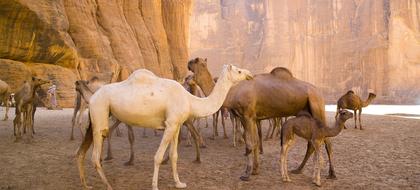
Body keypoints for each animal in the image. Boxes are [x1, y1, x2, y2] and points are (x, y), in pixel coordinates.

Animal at [76, 64, 251, 190]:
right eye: (239, 70)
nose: (250, 74)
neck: (189, 99)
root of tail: (93, 96)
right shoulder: (170, 124)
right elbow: (158, 156)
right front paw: (155, 186)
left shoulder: (176, 125)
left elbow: (174, 156)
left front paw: (179, 183)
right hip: (100, 112)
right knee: (94, 156)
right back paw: (108, 185)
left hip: (98, 117)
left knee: (81, 152)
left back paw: (85, 184)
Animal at [187, 57, 334, 181]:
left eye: (196, 61)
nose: (188, 63)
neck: (232, 93)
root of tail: (319, 92)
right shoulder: (250, 118)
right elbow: (255, 142)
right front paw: (255, 170)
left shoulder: (247, 116)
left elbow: (249, 143)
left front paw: (246, 174)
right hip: (307, 114)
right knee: (311, 143)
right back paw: (298, 169)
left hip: (317, 107)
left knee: (327, 141)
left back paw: (331, 174)